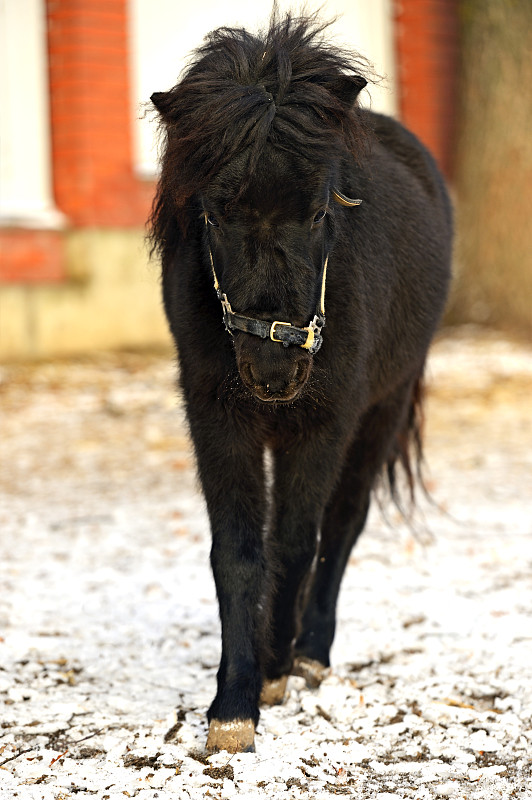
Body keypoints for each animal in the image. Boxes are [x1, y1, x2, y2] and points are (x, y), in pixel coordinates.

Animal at [149, 9, 448, 752]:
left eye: (318, 212)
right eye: (214, 212)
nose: (274, 370)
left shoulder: (323, 424)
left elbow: (295, 541)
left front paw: (274, 669)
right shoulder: (217, 420)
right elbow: (237, 553)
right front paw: (234, 702)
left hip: (382, 411)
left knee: (341, 527)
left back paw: (309, 652)